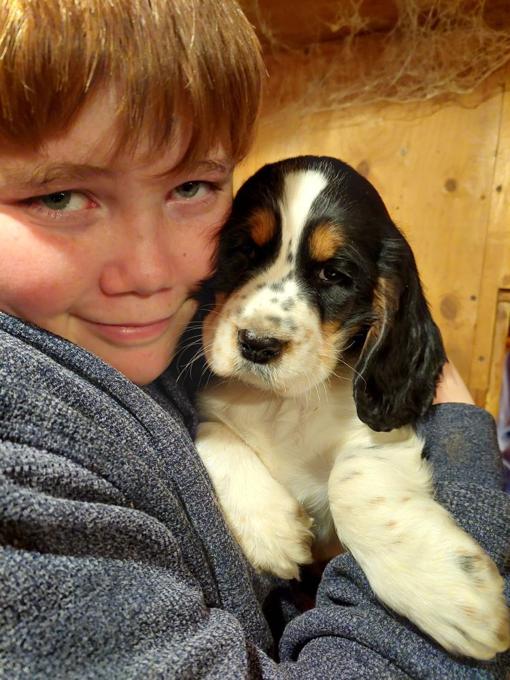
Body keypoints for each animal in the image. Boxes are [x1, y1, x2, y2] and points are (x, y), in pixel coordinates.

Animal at [195, 155, 510, 660]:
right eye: (242, 250)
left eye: (334, 275)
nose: (258, 344)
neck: (287, 403)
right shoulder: (212, 404)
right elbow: (208, 432)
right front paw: (271, 529)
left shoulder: (383, 435)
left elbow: (351, 478)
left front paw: (450, 591)